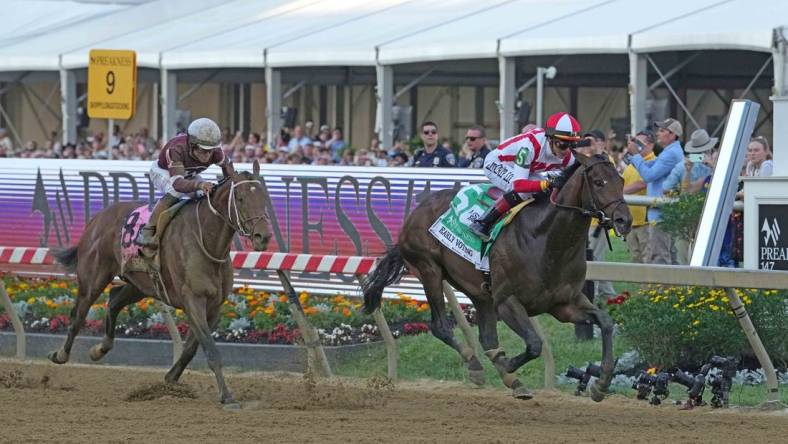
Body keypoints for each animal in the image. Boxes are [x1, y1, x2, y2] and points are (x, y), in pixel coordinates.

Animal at [52, 160, 272, 406]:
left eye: (264, 196)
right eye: (241, 198)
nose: (263, 237)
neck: (208, 241)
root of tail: (98, 217)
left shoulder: (214, 306)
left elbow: (192, 348)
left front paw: (170, 378)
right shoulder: (193, 300)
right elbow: (211, 350)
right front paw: (227, 396)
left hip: (140, 284)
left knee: (114, 299)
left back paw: (100, 349)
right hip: (93, 278)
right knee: (78, 316)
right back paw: (61, 354)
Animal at [364, 154, 636, 400]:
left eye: (621, 180)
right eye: (599, 182)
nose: (624, 220)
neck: (546, 241)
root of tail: (416, 211)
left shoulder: (564, 304)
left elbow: (606, 322)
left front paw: (601, 384)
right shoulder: (507, 302)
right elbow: (534, 344)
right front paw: (508, 364)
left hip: (480, 293)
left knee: (486, 337)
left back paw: (512, 381)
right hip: (428, 269)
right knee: (441, 326)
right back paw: (476, 366)